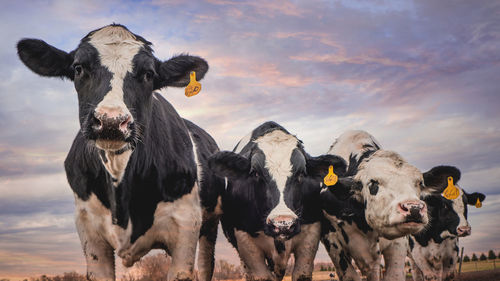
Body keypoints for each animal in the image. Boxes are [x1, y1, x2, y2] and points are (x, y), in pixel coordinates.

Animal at [17, 24, 225, 280]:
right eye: (78, 68)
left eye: (148, 74)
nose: (111, 121)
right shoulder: (89, 231)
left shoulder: (186, 228)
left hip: (210, 227)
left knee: (206, 265)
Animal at [207, 121, 348, 280]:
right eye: (255, 173)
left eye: (302, 173)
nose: (283, 224)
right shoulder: (244, 241)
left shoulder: (311, 234)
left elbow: (302, 273)